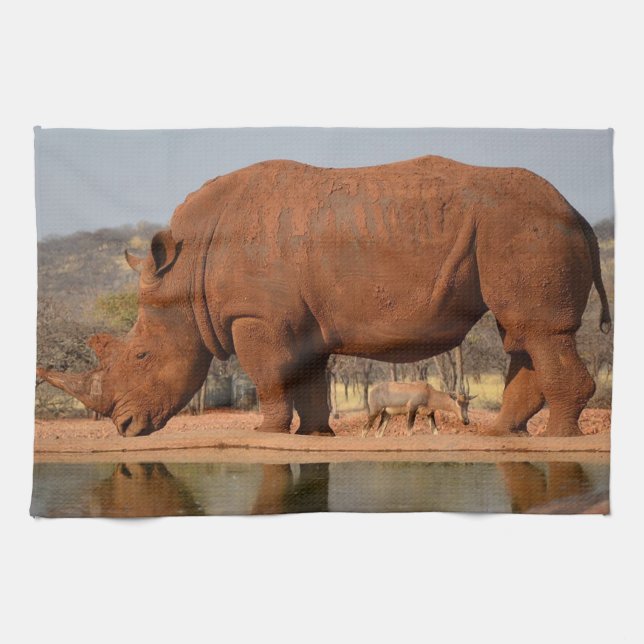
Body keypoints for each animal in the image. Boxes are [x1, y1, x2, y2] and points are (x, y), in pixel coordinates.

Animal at [37, 155, 611, 437]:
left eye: (140, 355)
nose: (124, 429)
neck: (186, 270)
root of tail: (578, 213)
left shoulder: (257, 315)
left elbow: (269, 376)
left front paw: (266, 431)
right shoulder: (296, 320)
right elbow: (306, 377)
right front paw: (315, 435)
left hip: (526, 228)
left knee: (540, 332)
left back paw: (559, 440)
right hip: (516, 230)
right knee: (522, 335)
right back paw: (504, 437)